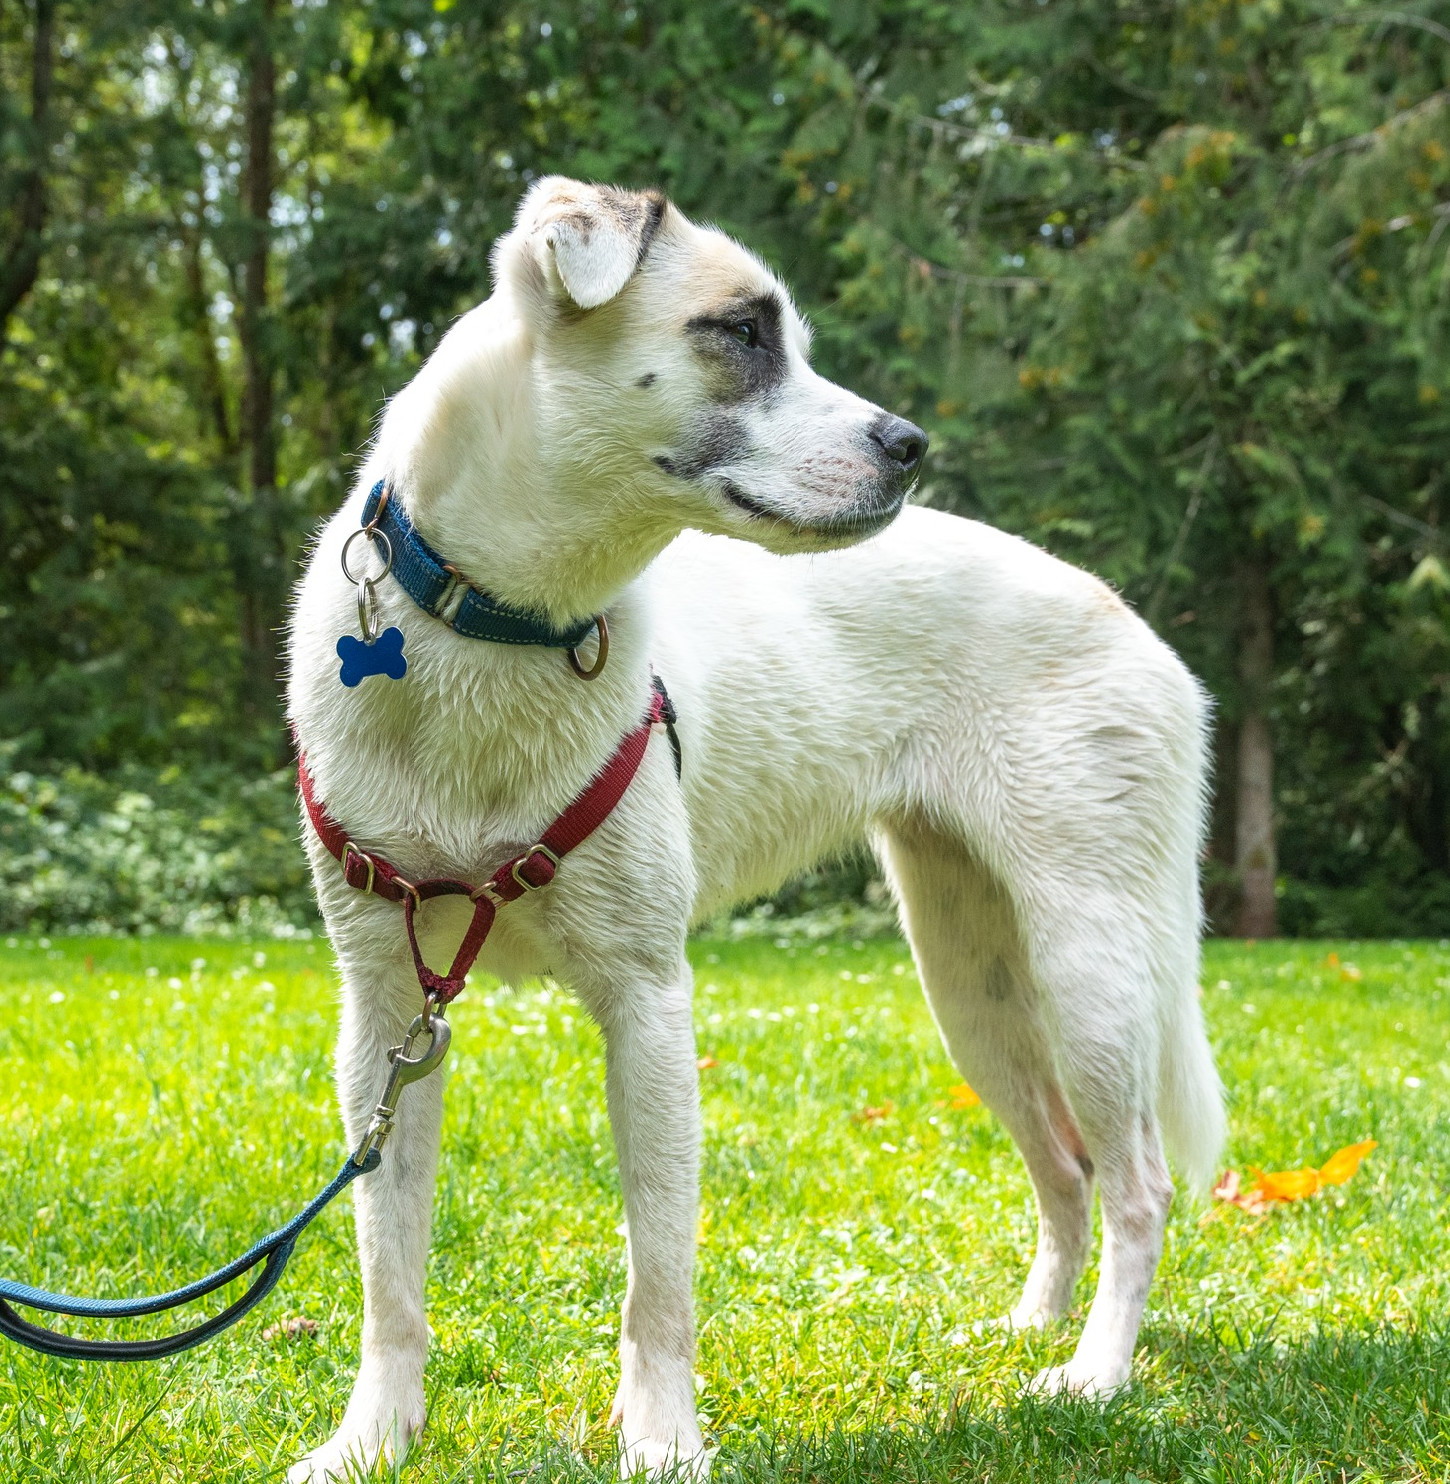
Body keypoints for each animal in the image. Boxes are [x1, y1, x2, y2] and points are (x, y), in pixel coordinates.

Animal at [286, 179, 1222, 1478]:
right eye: (738, 330)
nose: (910, 445)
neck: (501, 629)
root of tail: (1139, 632)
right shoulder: (385, 1014)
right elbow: (389, 1266)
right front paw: (371, 1438)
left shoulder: (648, 1003)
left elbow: (658, 1271)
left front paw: (663, 1437)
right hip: (970, 977)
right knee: (1066, 1167)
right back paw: (1029, 1327)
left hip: (1091, 968)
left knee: (1137, 1183)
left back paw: (1093, 1371)